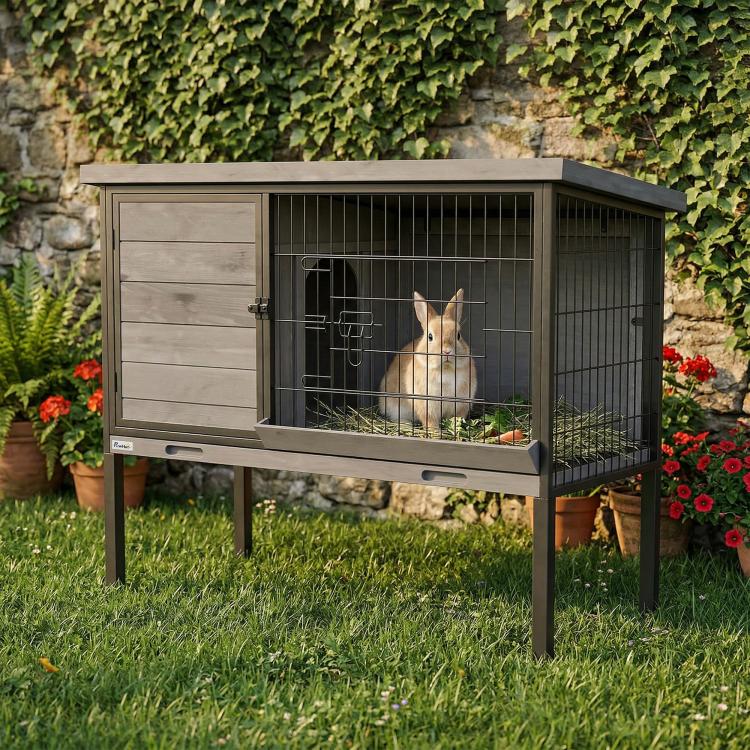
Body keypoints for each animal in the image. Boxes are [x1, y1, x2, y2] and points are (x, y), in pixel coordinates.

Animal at [378, 289, 477, 431]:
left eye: (458, 335)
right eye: (430, 336)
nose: (447, 351)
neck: (444, 369)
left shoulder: (461, 404)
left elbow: (457, 418)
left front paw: (455, 428)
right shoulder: (426, 405)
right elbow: (430, 421)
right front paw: (435, 432)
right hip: (394, 406)